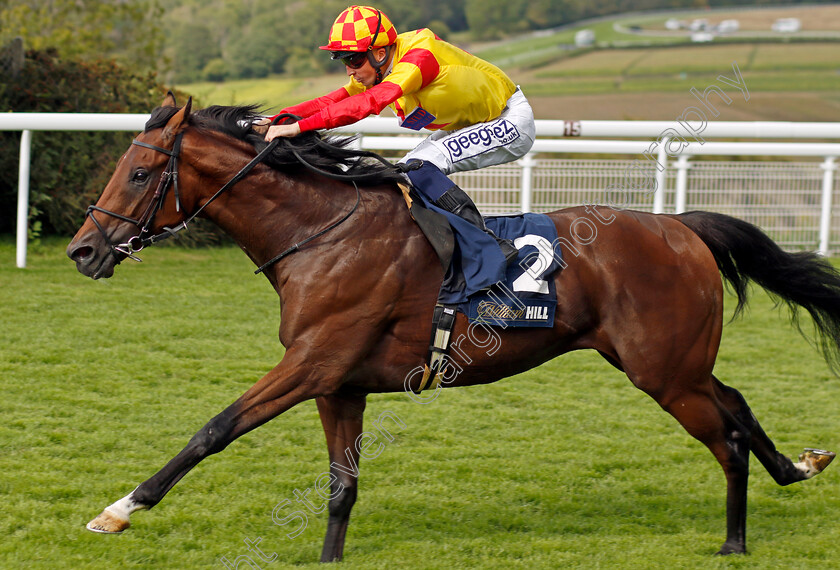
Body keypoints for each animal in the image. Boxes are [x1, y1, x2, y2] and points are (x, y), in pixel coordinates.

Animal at [67, 95, 840, 556]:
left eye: (139, 174)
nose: (83, 251)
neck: (319, 232)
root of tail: (681, 227)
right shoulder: (340, 383)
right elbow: (341, 486)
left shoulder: (312, 364)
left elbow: (215, 429)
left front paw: (119, 508)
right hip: (673, 363)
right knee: (737, 405)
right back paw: (798, 466)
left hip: (664, 371)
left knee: (727, 436)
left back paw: (735, 541)